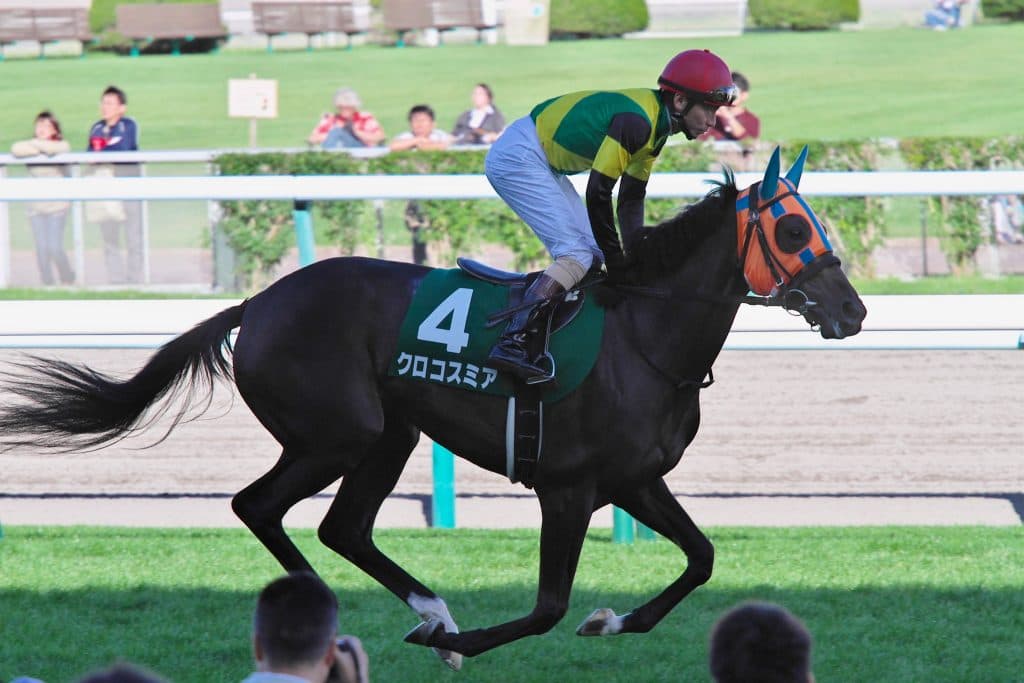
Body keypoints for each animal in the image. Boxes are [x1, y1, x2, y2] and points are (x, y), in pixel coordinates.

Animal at [0, 147, 865, 669]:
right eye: (793, 228)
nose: (853, 311)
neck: (644, 336)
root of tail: (259, 299)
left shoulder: (635, 480)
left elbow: (702, 557)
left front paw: (608, 621)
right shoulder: (569, 487)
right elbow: (546, 606)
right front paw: (474, 640)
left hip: (392, 432)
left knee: (340, 526)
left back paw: (424, 611)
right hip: (339, 433)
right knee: (261, 506)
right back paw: (385, 618)